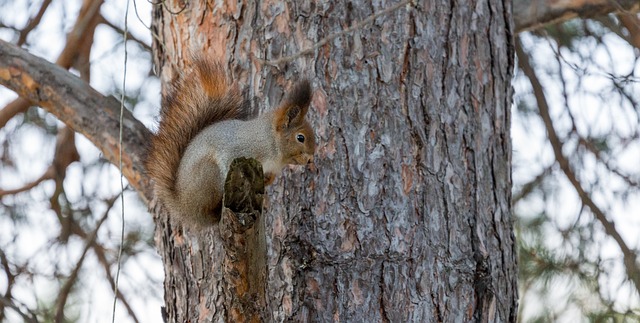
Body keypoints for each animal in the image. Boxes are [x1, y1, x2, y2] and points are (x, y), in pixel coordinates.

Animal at [145, 58, 316, 230]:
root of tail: (183, 206)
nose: (311, 159)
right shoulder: (238, 148)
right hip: (209, 175)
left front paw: (267, 181)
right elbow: (228, 158)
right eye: (300, 138)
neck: (272, 145)